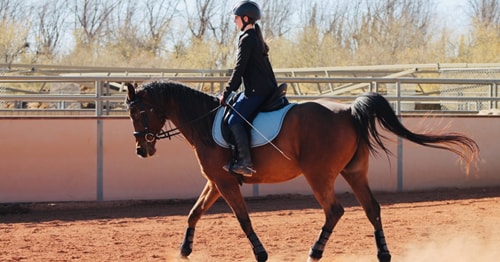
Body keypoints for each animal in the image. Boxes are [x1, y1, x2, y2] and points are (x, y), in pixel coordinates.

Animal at [123, 81, 478, 260]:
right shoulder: (216, 180)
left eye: (137, 113)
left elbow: (242, 218)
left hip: (318, 175)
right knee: (372, 209)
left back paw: (315, 252)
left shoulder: (224, 181)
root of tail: (349, 111)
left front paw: (261, 253)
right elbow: (194, 212)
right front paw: (184, 250)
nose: (141, 149)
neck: (204, 120)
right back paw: (383, 254)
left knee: (334, 210)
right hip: (354, 173)